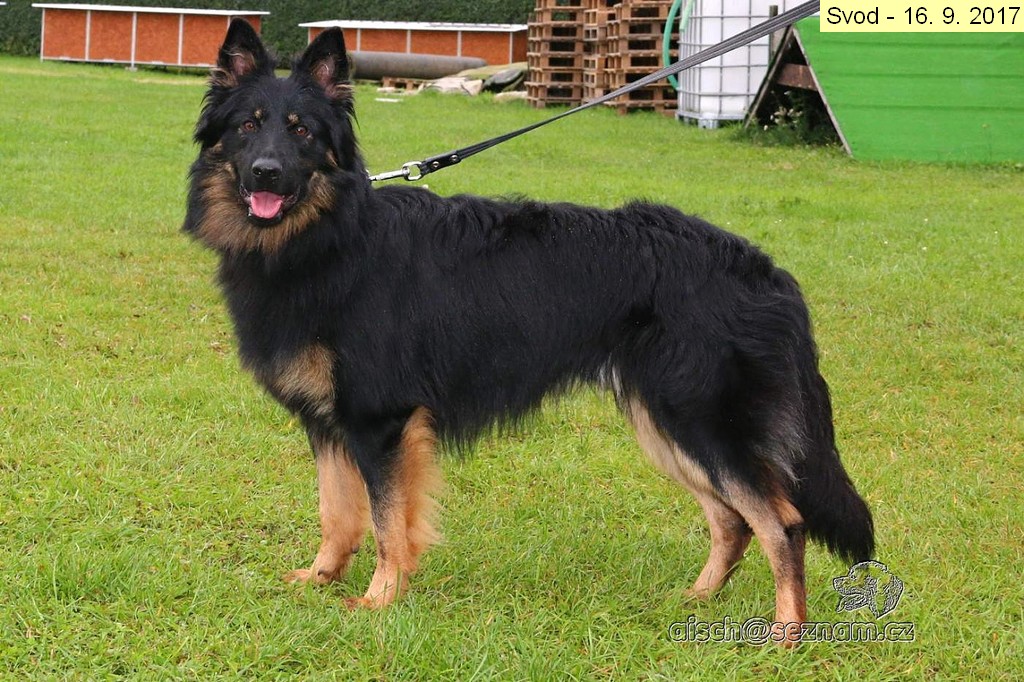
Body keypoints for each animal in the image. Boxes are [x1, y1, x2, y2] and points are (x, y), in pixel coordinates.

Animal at [183, 19, 874, 644]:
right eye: (248, 126)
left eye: (301, 130)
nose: (266, 173)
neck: (328, 237)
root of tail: (768, 272)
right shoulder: (331, 425)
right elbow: (338, 514)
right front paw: (322, 579)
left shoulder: (380, 423)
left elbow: (386, 522)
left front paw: (380, 600)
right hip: (667, 427)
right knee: (734, 521)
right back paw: (695, 601)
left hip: (702, 424)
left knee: (782, 522)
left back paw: (786, 634)